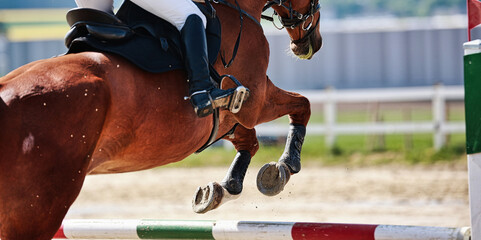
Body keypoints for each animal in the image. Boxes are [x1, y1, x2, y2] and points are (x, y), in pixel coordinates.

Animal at [0, 0, 322, 237]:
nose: (311, 43)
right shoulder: (254, 102)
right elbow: (302, 106)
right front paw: (285, 166)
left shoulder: (228, 118)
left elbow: (249, 141)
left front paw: (224, 189)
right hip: (40, 208)